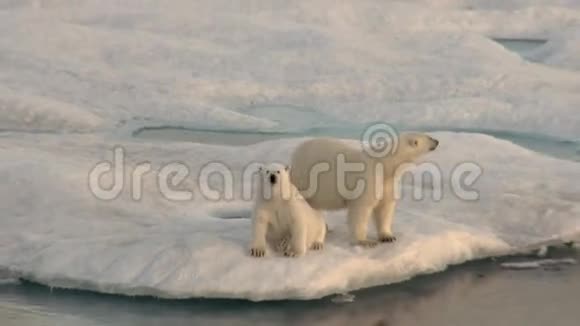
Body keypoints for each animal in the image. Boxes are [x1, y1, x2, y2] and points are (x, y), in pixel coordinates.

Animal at [292, 132, 438, 247]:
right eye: (429, 137)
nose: (437, 141)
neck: (384, 164)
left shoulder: (387, 183)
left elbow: (385, 207)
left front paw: (388, 236)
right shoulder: (368, 179)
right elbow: (361, 210)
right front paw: (365, 241)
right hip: (304, 180)